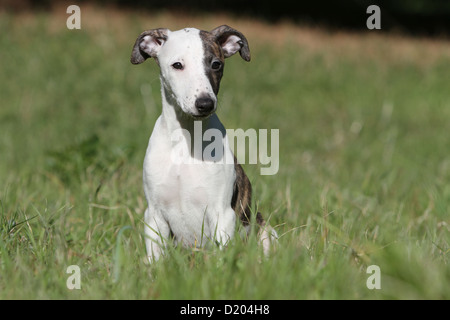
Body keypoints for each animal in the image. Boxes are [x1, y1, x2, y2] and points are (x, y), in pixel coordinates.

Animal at [131, 23, 278, 262]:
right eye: (177, 65)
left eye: (216, 64)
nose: (205, 104)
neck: (185, 140)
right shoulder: (154, 214)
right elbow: (155, 258)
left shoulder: (222, 213)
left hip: (266, 230)